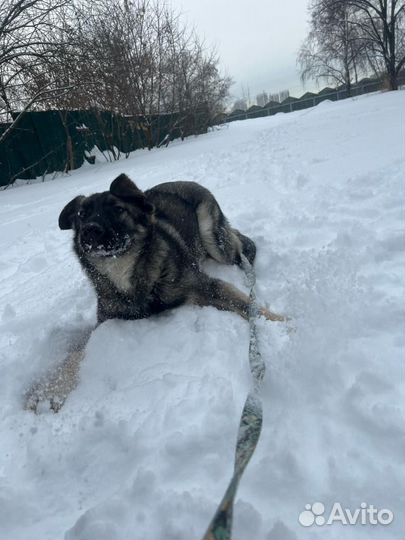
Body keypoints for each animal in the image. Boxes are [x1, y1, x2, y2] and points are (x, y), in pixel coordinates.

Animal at [25, 175, 284, 412]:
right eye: (81, 214)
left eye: (118, 209)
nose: (89, 232)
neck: (127, 276)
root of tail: (185, 181)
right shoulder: (106, 320)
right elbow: (77, 353)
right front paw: (49, 391)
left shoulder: (206, 286)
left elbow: (249, 306)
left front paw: (284, 324)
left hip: (215, 242)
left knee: (238, 243)